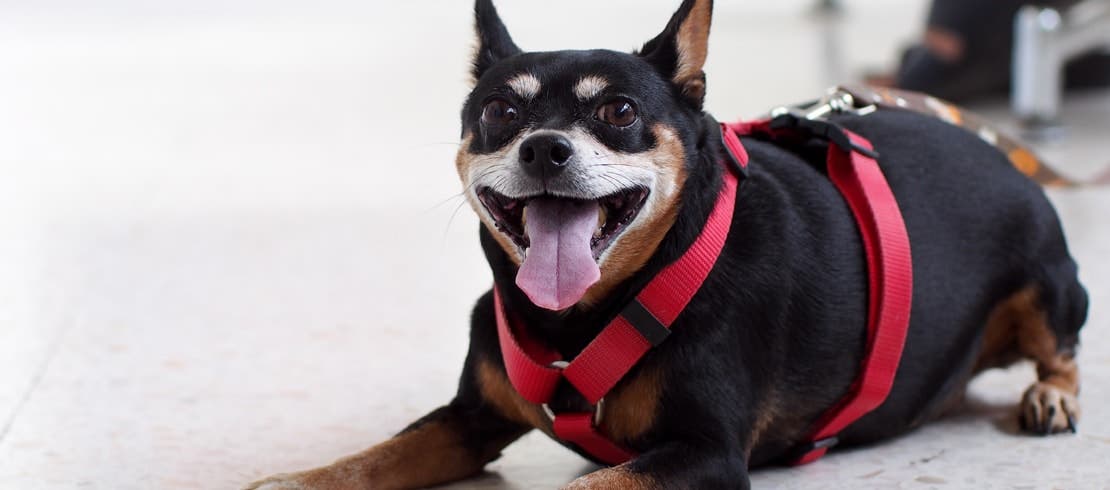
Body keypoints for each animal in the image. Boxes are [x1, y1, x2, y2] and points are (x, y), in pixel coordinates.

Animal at [247, 1, 1087, 486]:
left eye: (619, 110)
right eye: (499, 112)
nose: (544, 149)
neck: (578, 319)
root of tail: (999, 148)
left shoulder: (703, 454)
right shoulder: (468, 420)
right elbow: (365, 462)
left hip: (1051, 287)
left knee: (1063, 352)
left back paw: (1051, 395)